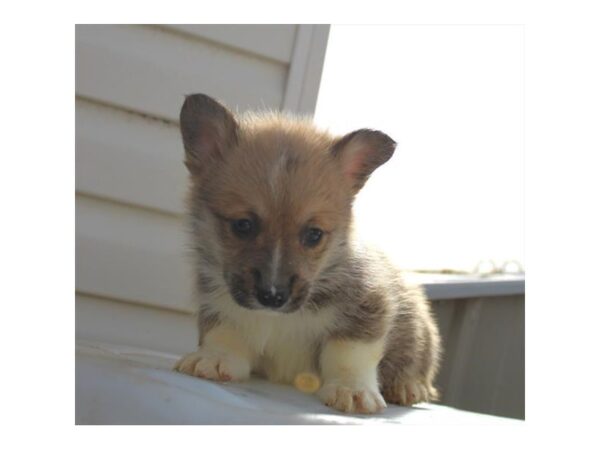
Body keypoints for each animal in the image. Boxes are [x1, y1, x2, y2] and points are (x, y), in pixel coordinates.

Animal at [173, 95, 440, 414]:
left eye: (313, 235)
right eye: (243, 225)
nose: (272, 296)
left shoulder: (368, 305)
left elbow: (350, 351)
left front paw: (351, 389)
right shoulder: (216, 300)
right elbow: (225, 330)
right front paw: (215, 358)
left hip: (419, 330)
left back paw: (408, 386)